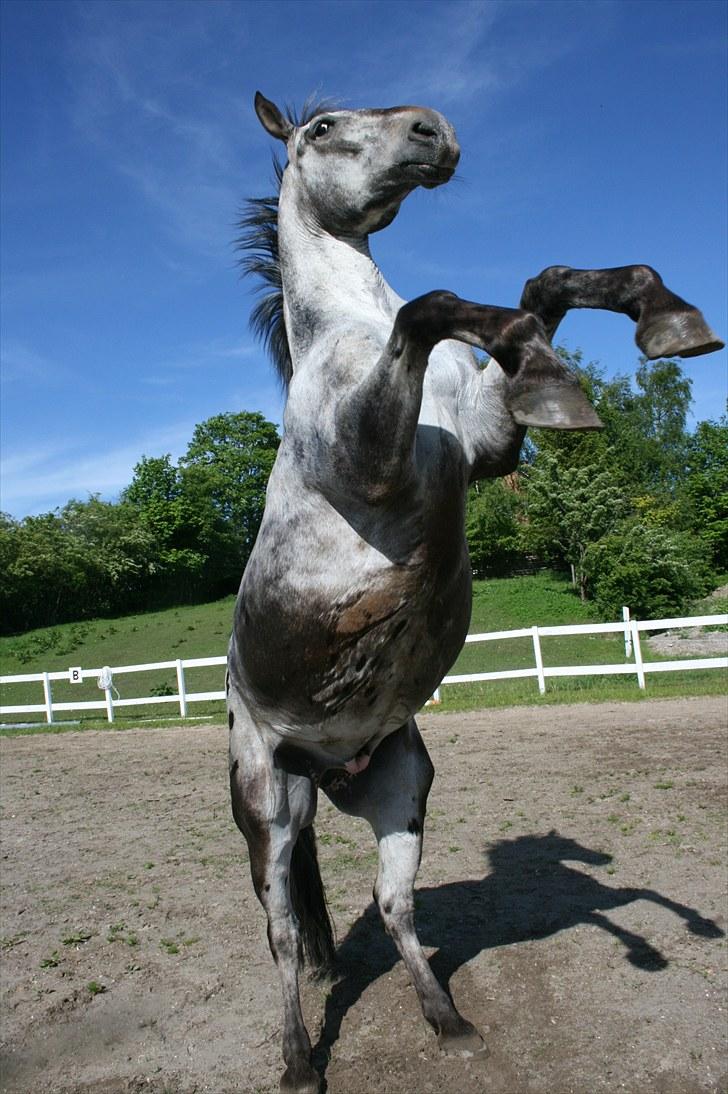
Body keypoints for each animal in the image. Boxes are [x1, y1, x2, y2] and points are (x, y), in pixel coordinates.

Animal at [228, 94, 722, 1094]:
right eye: (321, 128)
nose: (433, 129)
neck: (348, 342)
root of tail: (316, 764)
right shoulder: (375, 462)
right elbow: (434, 306)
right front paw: (549, 370)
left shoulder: (489, 448)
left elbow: (546, 284)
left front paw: (660, 319)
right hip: (268, 804)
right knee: (284, 933)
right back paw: (299, 1064)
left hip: (400, 787)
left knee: (394, 908)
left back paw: (449, 1022)